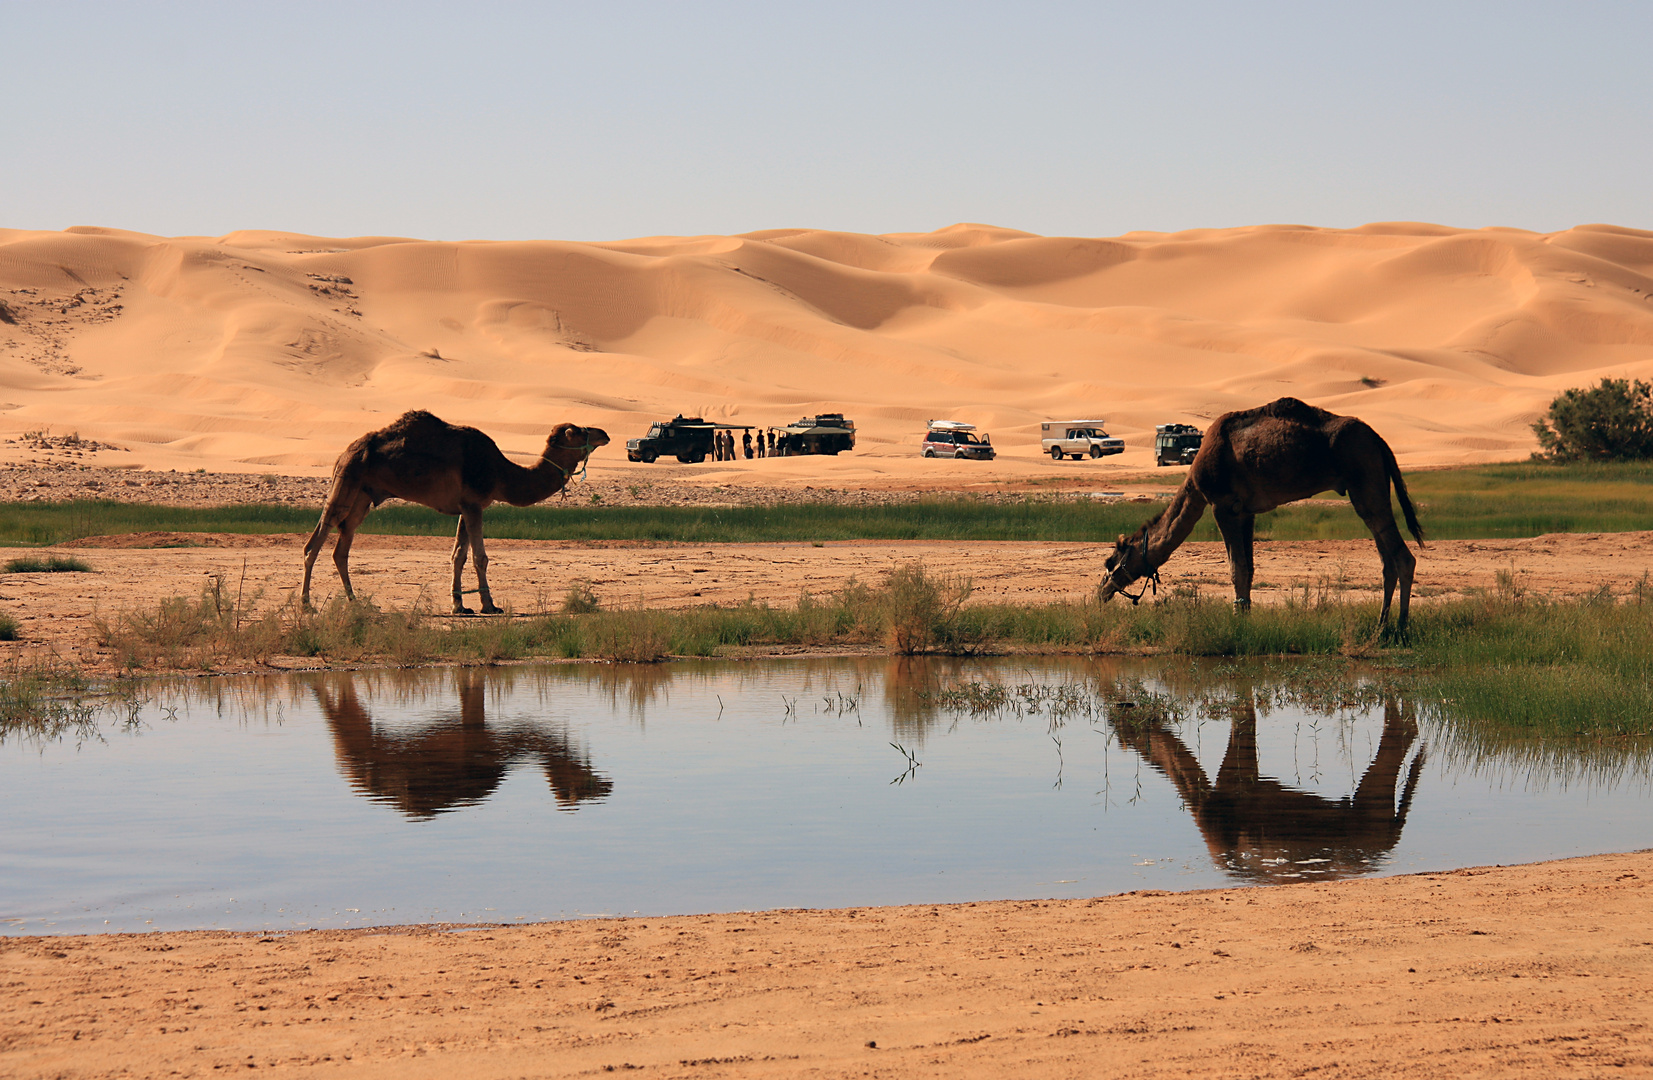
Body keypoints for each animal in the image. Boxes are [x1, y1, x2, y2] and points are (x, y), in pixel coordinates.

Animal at [300, 410, 611, 615]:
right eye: (579, 431)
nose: (605, 433)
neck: (501, 472)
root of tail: (345, 452)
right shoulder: (474, 504)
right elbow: (480, 557)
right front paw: (489, 605)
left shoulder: (465, 506)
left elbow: (458, 555)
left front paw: (459, 605)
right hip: (347, 480)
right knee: (315, 541)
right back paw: (306, 604)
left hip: (362, 496)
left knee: (342, 545)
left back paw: (356, 602)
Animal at [1097, 398, 1421, 628]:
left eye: (1111, 560)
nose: (1101, 591)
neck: (1195, 482)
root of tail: (1378, 439)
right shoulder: (1245, 512)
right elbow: (1249, 568)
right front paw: (1246, 614)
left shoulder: (1222, 505)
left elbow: (1236, 567)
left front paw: (1237, 619)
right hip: (1367, 485)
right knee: (1387, 558)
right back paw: (1381, 626)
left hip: (1363, 476)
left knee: (1402, 555)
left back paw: (1401, 628)